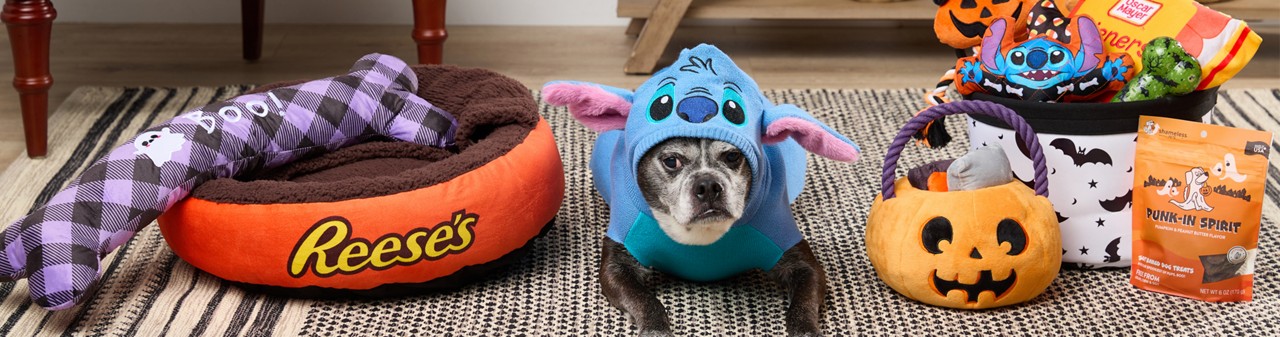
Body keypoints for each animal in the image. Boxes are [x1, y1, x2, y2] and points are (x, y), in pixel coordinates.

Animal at [540, 44, 860, 335]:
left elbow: (803, 303)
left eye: (732, 157)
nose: (707, 185)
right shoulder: (617, 262)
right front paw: (656, 329)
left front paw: (804, 330)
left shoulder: (800, 261)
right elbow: (644, 299)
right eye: (671, 161)